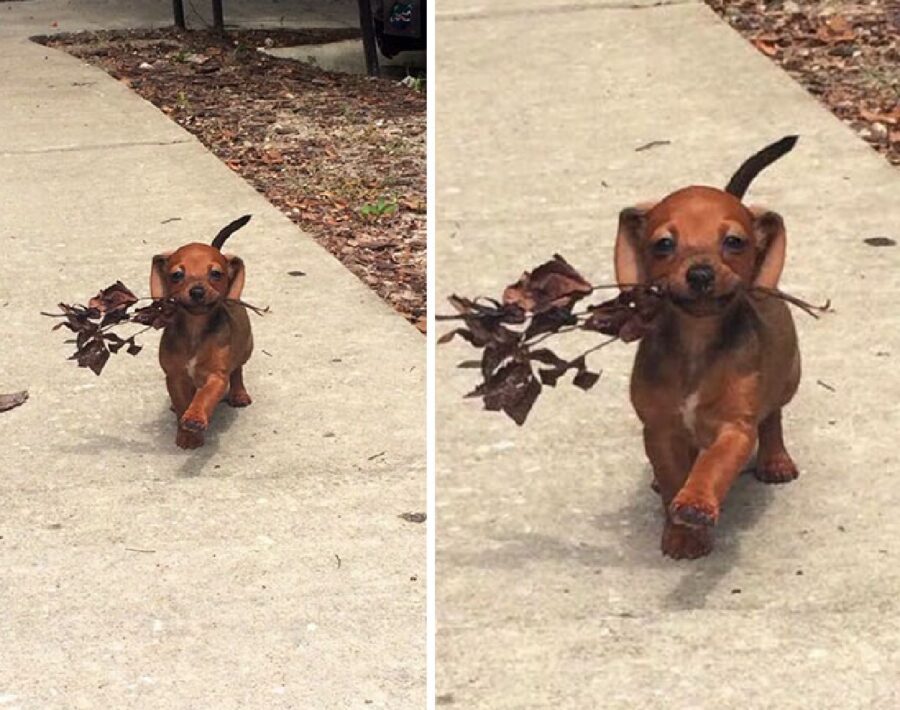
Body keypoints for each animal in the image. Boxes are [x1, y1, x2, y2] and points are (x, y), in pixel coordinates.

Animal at [151, 216, 255, 450]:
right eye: (177, 275)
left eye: (216, 274)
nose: (197, 291)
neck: (195, 328)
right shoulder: (175, 376)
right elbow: (182, 402)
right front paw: (187, 434)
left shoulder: (216, 376)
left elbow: (204, 397)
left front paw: (195, 418)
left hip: (245, 348)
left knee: (238, 370)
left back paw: (239, 394)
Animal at [620, 138, 800, 560]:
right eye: (664, 244)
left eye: (734, 242)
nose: (700, 274)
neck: (696, 341)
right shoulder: (660, 428)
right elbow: (673, 475)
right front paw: (681, 531)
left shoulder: (735, 428)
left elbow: (713, 466)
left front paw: (696, 504)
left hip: (788, 378)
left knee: (773, 417)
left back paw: (775, 460)